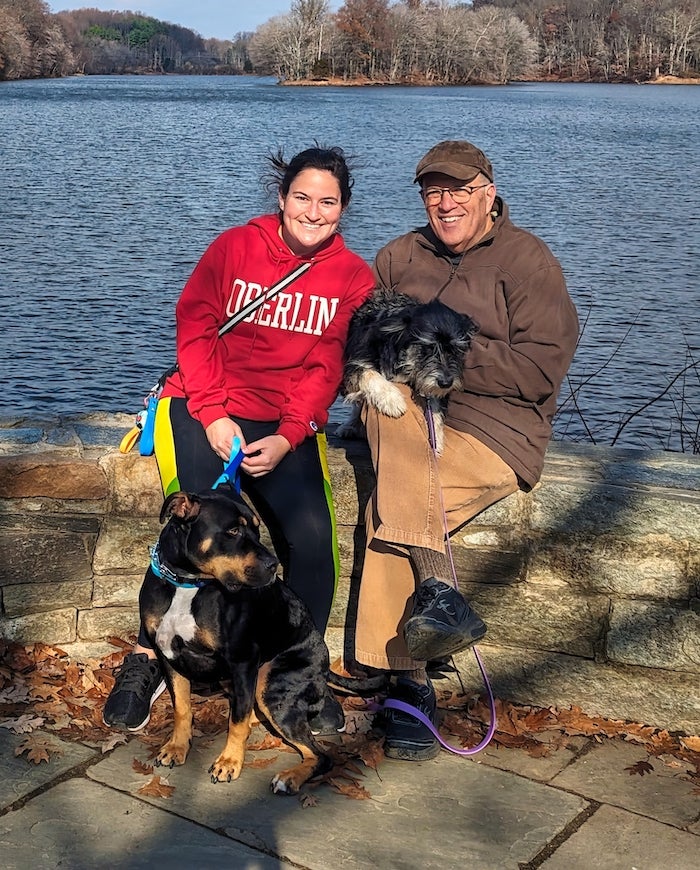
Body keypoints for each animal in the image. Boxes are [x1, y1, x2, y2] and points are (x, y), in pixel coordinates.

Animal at [141, 490, 334, 796]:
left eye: (257, 529)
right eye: (233, 531)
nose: (273, 565)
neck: (188, 584)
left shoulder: (243, 662)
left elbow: (237, 723)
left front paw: (229, 762)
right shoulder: (167, 655)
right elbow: (182, 707)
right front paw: (177, 747)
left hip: (271, 685)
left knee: (321, 755)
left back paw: (290, 777)